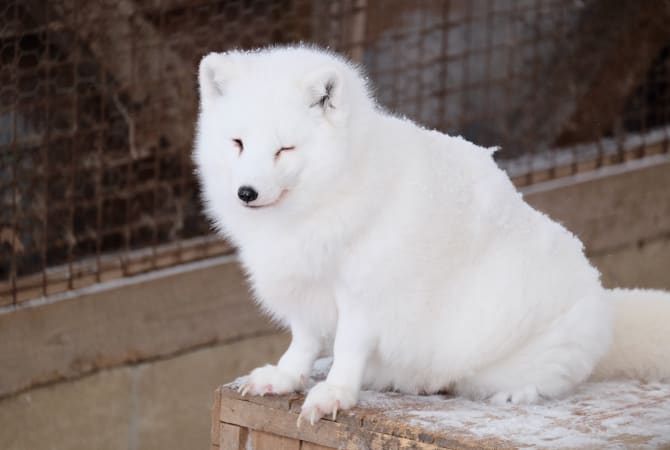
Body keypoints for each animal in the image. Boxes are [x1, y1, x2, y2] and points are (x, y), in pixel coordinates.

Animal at [193, 45, 670, 425]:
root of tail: (605, 303)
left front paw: (334, 394)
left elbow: (346, 349)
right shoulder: (307, 289)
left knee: (545, 381)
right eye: (237, 143)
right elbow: (304, 342)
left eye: (284, 149)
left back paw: (510, 392)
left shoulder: (366, 295)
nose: (246, 193)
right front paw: (286, 376)